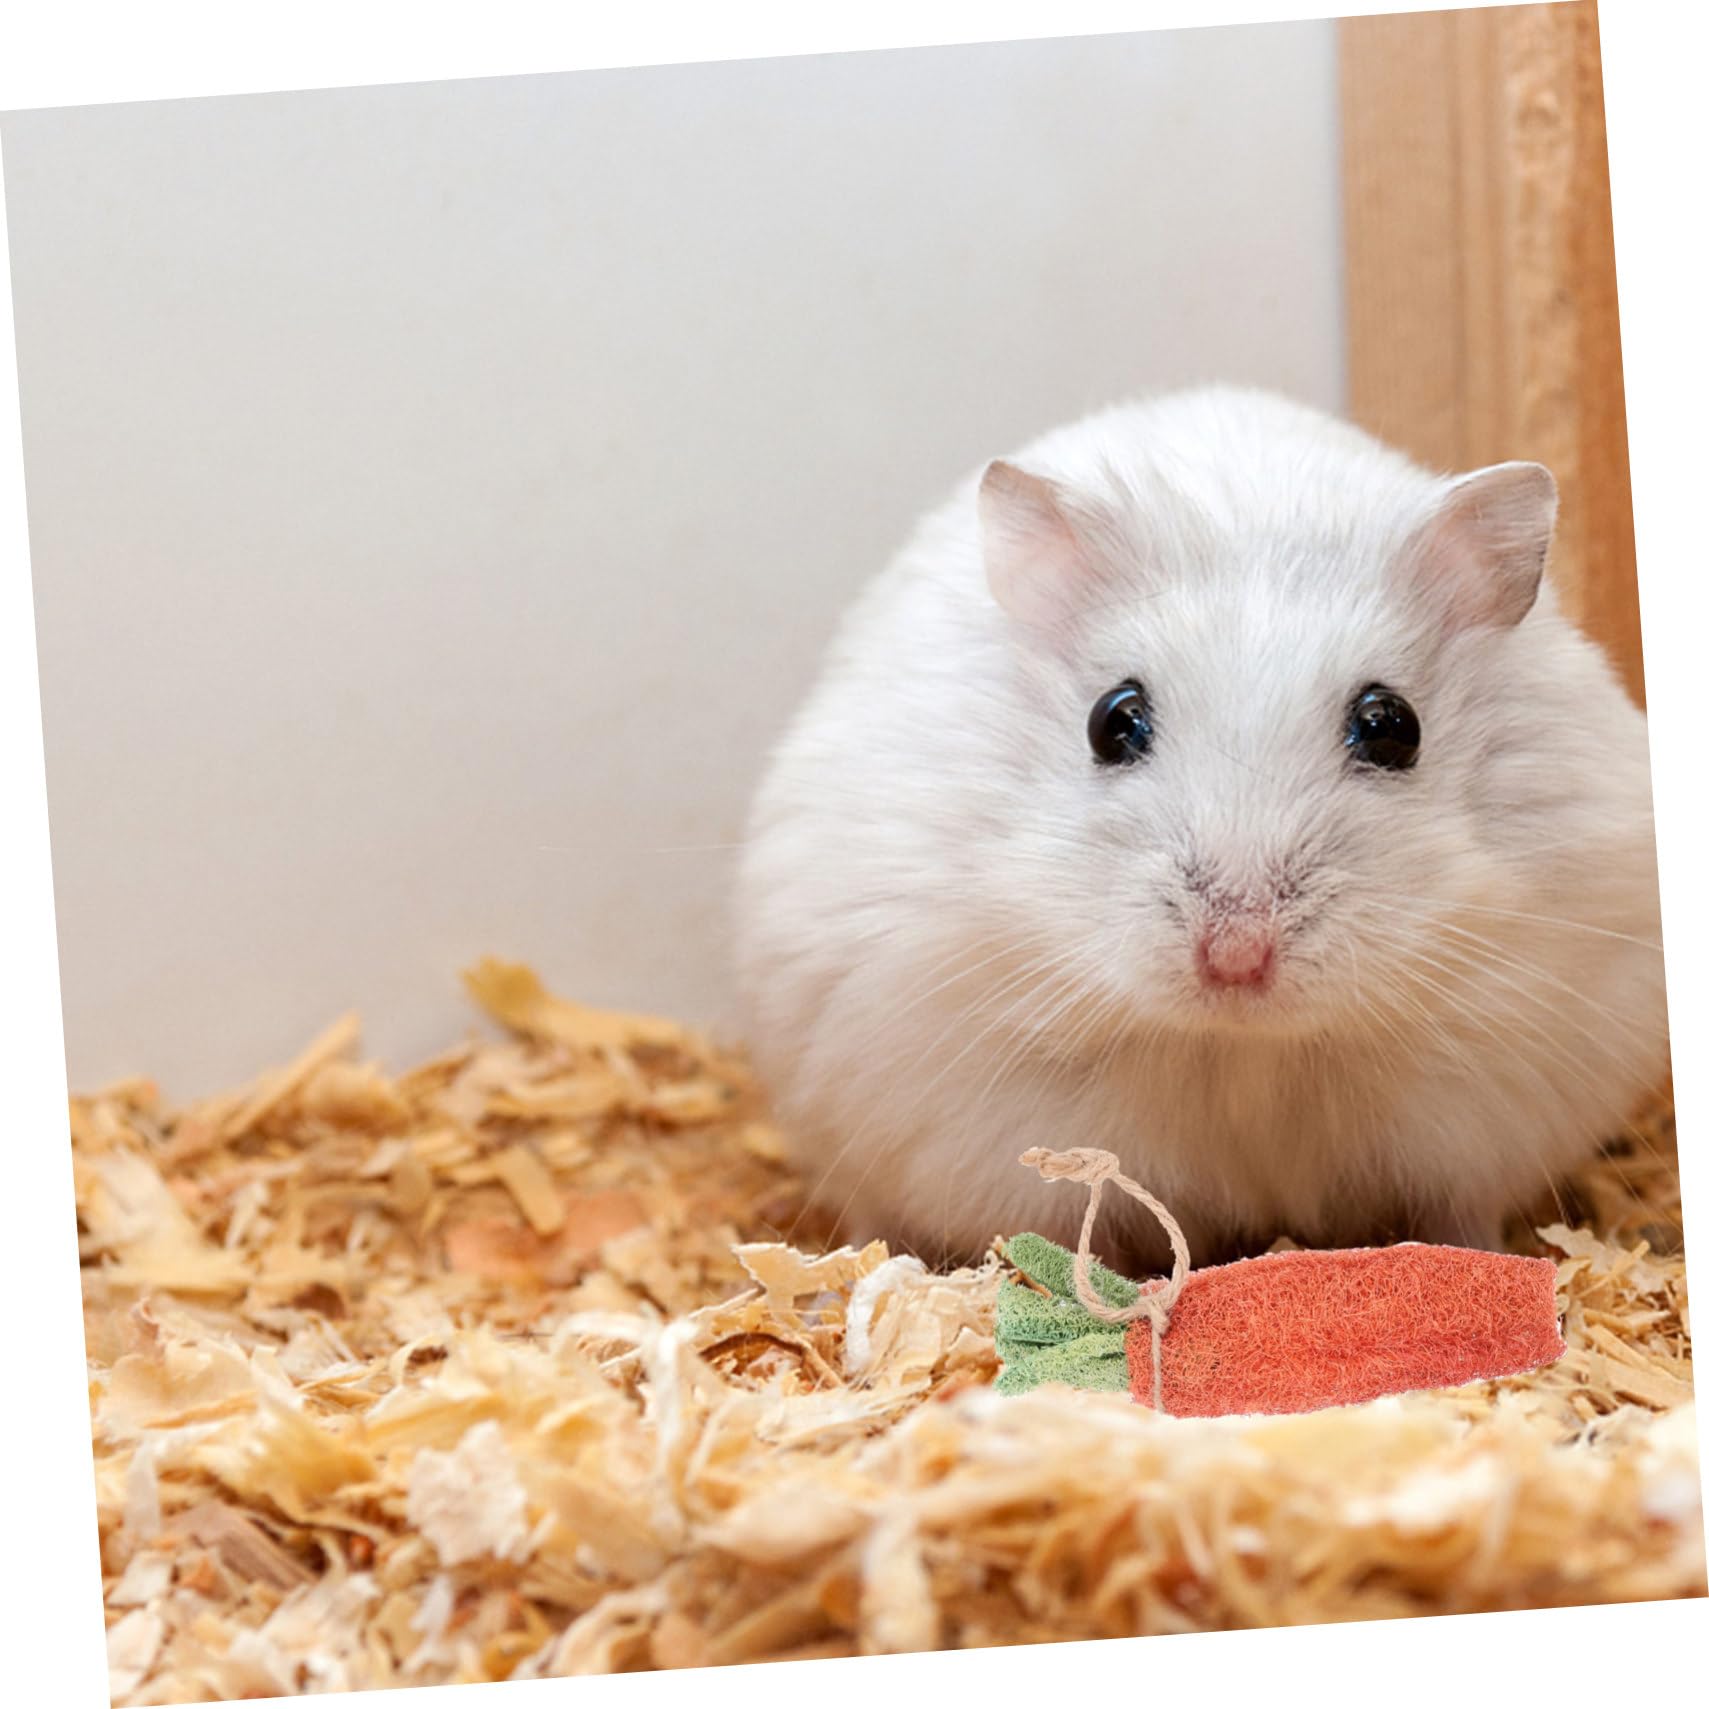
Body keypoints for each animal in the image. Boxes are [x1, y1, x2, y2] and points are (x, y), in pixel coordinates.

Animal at [732, 387, 1669, 1273]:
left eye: (1390, 725)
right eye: (1112, 720)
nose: (1235, 957)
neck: (1242, 1048)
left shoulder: (1487, 1101)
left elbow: (1453, 1216)